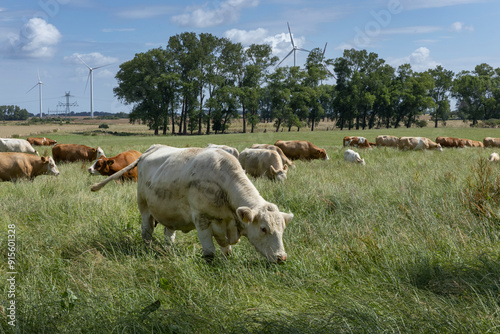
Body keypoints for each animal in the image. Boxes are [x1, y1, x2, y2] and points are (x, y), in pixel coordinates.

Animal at [92, 146, 292, 264]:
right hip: (144, 207)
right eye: (264, 228)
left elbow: (226, 250)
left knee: (168, 234)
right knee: (146, 232)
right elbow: (209, 253)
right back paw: (148, 249)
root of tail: (150, 150)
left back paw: (169, 249)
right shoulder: (201, 220)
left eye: (282, 229)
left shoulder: (223, 223)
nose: (281, 257)